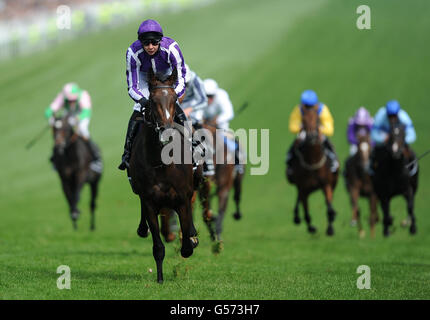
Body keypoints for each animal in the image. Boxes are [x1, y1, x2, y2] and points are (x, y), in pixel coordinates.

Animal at [127, 69, 200, 282]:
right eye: (152, 100)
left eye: (174, 98)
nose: (167, 133)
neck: (162, 163)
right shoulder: (150, 201)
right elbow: (158, 247)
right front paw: (159, 278)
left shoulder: (182, 198)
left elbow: (186, 247)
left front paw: (191, 238)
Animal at [286, 105, 340, 235]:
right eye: (303, 120)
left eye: (317, 120)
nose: (311, 136)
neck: (313, 161)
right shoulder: (303, 188)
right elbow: (306, 210)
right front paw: (311, 227)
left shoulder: (326, 184)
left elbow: (329, 206)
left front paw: (330, 228)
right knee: (299, 199)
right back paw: (297, 217)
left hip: (333, 183)